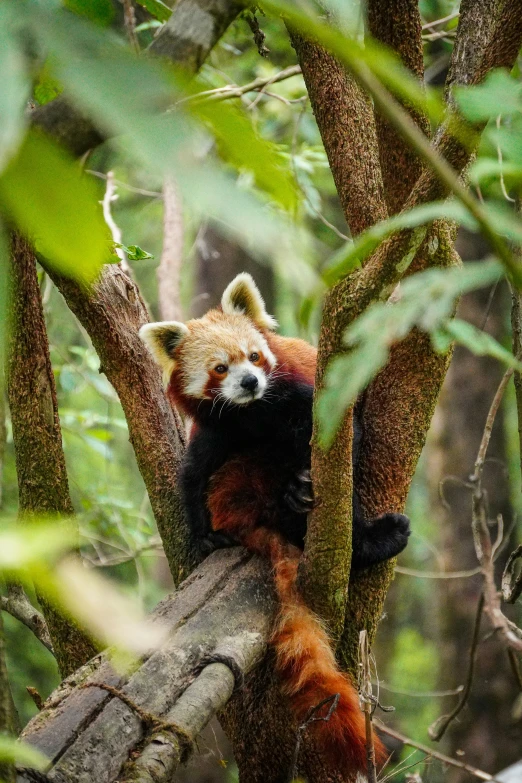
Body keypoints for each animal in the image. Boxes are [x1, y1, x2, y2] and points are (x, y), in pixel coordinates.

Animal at [140, 274, 408, 776]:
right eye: (220, 368)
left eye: (254, 356)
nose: (249, 381)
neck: (252, 414)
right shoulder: (216, 429)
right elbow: (192, 474)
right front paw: (202, 535)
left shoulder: (303, 397)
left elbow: (339, 435)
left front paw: (304, 483)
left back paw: (348, 527)